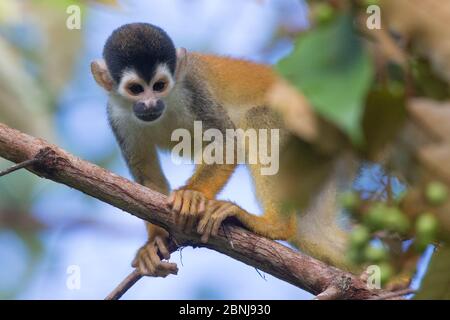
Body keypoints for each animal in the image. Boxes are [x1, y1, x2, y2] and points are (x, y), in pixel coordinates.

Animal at [91, 23, 352, 278]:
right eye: (136, 89)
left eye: (159, 86)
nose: (150, 104)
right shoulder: (116, 117)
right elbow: (147, 179)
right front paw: (155, 242)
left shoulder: (194, 90)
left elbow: (228, 141)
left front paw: (192, 194)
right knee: (311, 231)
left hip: (312, 128)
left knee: (256, 118)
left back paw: (273, 225)